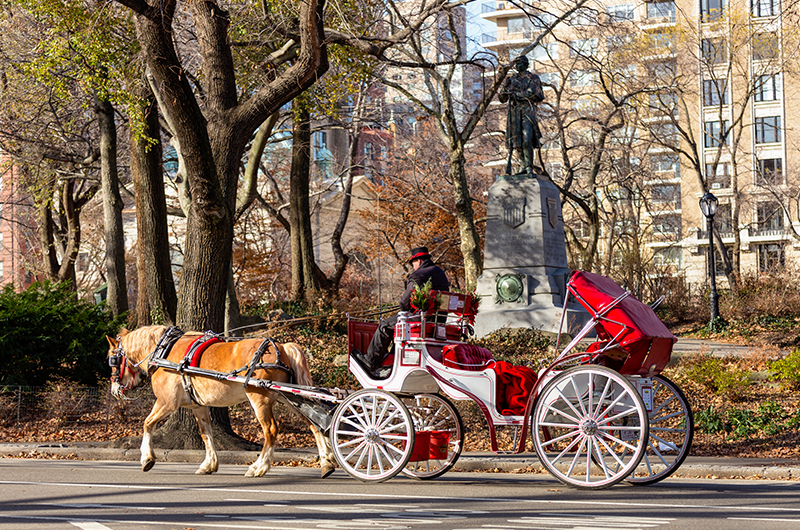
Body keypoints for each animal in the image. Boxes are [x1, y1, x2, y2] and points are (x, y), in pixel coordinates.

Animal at [105, 324, 334, 476]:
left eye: (112, 360)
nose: (115, 389)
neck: (163, 351)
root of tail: (283, 347)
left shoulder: (166, 402)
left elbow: (147, 424)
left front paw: (147, 458)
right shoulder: (198, 406)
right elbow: (206, 433)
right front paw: (209, 464)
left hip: (260, 397)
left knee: (270, 430)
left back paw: (259, 467)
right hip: (290, 396)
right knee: (313, 424)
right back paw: (326, 463)